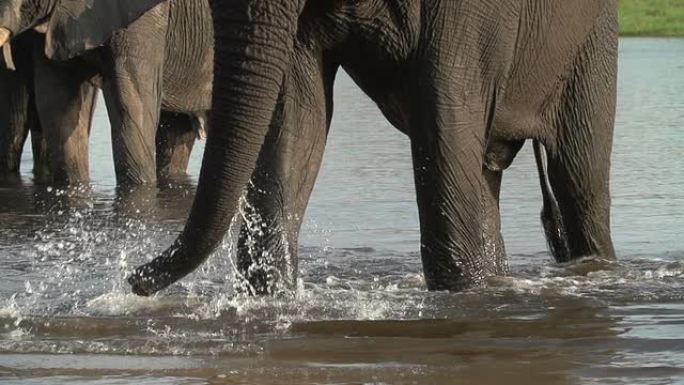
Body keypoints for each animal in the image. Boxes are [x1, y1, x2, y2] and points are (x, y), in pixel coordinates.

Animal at [123, 0, 620, 294]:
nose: (134, 279)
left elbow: (444, 105)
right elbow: (297, 118)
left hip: (593, 39)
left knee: (578, 182)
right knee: (483, 179)